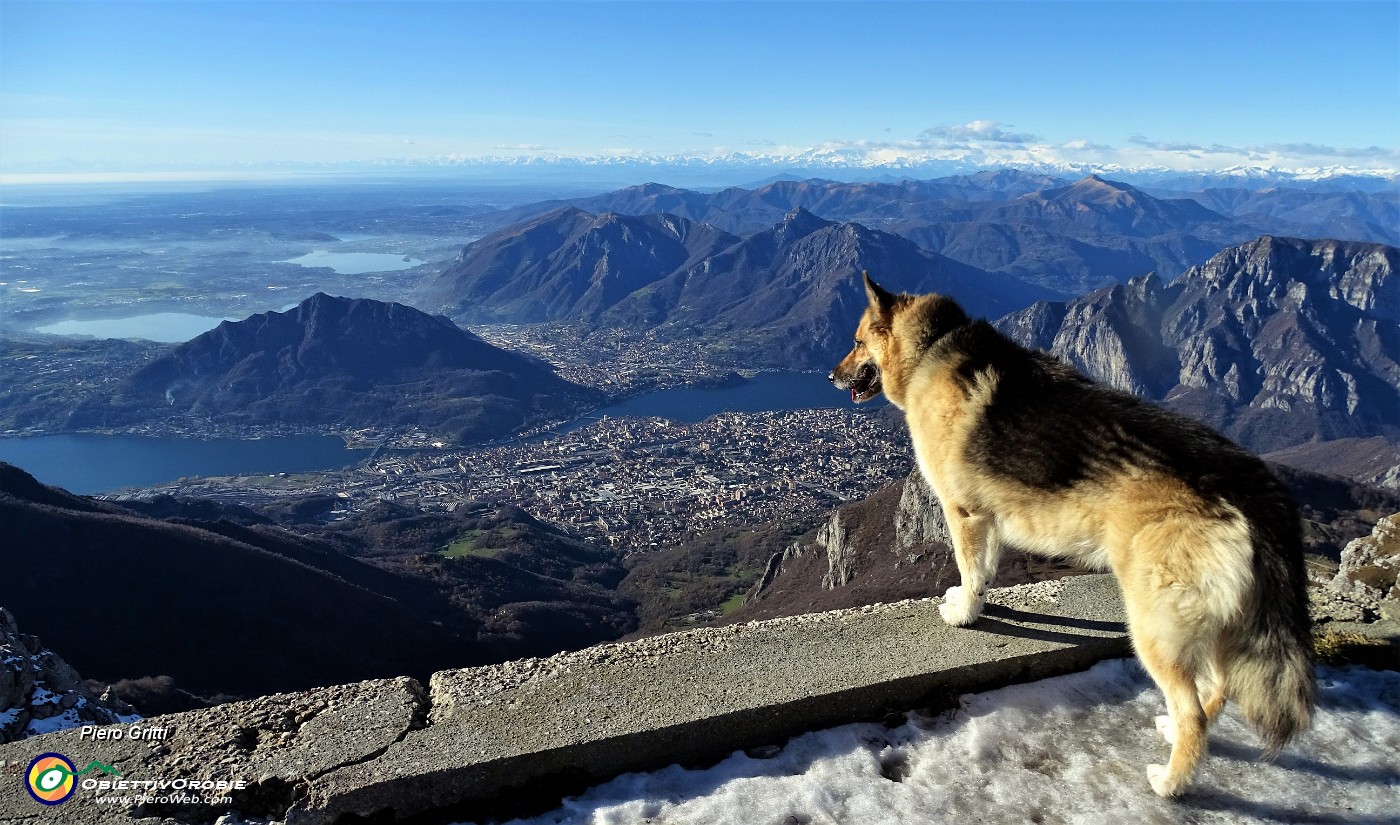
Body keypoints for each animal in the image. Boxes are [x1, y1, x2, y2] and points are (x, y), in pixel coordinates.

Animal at [828, 273, 1310, 795]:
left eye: (856, 342)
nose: (830, 377)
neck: (933, 346)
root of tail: (1248, 481)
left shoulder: (965, 514)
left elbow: (969, 569)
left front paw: (964, 613)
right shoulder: (989, 519)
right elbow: (986, 569)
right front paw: (977, 602)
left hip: (1154, 627)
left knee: (1194, 714)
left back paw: (1170, 782)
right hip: (1217, 620)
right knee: (1218, 688)